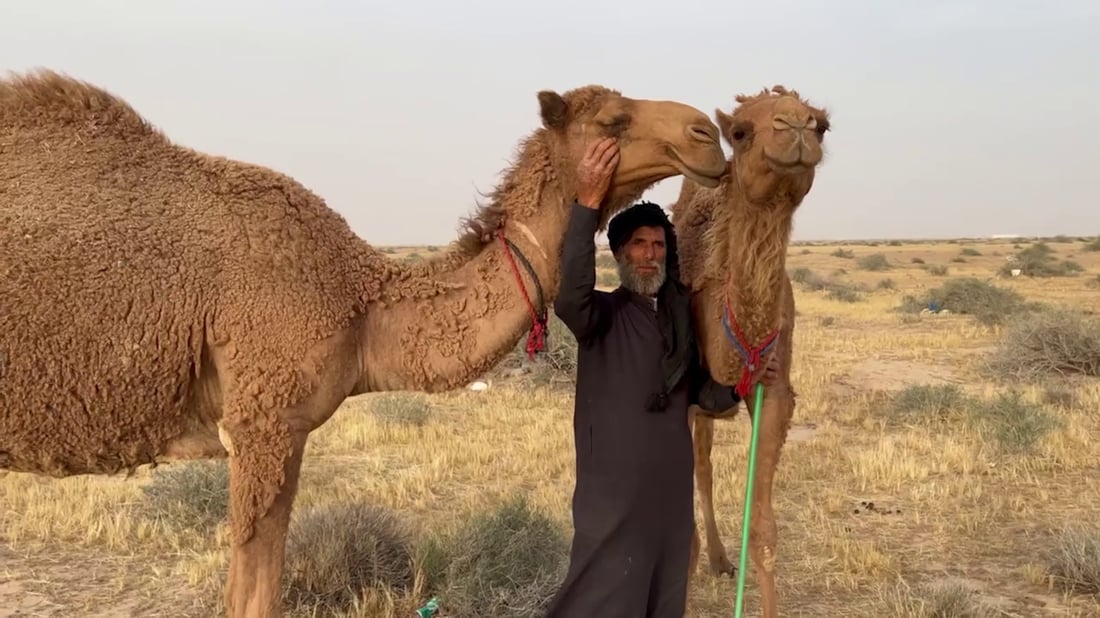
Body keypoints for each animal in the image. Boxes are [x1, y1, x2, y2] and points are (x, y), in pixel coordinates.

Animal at [2, 69, 730, 615]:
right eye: (612, 121)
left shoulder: (276, 429)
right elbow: (253, 596)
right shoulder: (263, 421)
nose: (707, 133)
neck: (360, 302)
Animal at [664, 84, 827, 611]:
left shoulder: (774, 390)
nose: (794, 126)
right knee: (702, 468)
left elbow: (764, 531)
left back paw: (721, 560)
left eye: (821, 125)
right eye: (739, 131)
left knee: (705, 466)